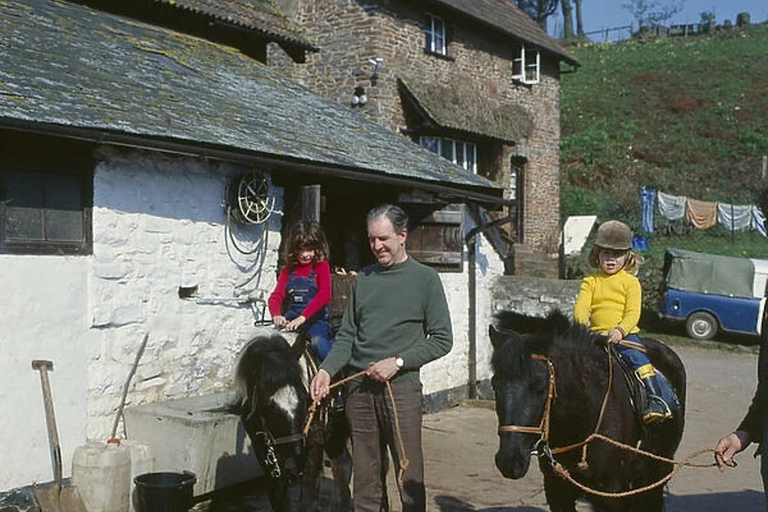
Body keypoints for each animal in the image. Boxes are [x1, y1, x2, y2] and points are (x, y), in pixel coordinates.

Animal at [236, 330, 352, 510]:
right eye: (268, 405)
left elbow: (309, 495)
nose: (295, 454)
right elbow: (278, 494)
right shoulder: (262, 447)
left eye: (305, 398)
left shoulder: (314, 441)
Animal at [488, 308, 688, 512]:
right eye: (495, 385)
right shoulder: (557, 489)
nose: (509, 461)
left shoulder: (611, 494)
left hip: (657, 468)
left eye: (540, 387)